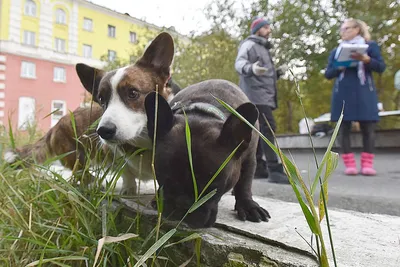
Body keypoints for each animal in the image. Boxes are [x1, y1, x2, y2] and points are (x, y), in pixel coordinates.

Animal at [4, 32, 177, 195]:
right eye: (101, 99)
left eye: (133, 93)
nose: (103, 131)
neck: (143, 142)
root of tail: (54, 127)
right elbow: (127, 173)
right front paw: (128, 189)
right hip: (76, 156)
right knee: (81, 173)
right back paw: (92, 183)